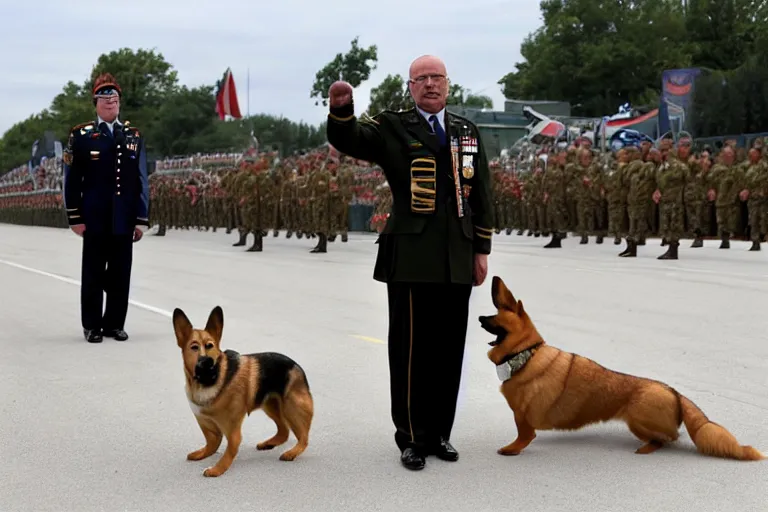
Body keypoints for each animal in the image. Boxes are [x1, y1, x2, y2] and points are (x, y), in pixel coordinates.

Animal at [175, 306, 316, 478]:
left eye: (210, 346)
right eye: (194, 348)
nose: (207, 362)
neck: (209, 381)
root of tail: (296, 366)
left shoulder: (232, 431)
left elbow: (229, 450)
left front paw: (218, 469)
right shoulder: (206, 425)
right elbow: (211, 444)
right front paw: (203, 454)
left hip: (291, 408)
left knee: (303, 437)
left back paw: (292, 452)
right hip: (271, 405)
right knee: (284, 431)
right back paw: (270, 443)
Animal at [480, 278, 760, 462]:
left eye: (494, 315)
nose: (480, 318)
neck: (525, 354)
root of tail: (675, 393)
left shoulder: (522, 417)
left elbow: (524, 436)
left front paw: (511, 449)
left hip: (636, 419)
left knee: (669, 439)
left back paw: (647, 449)